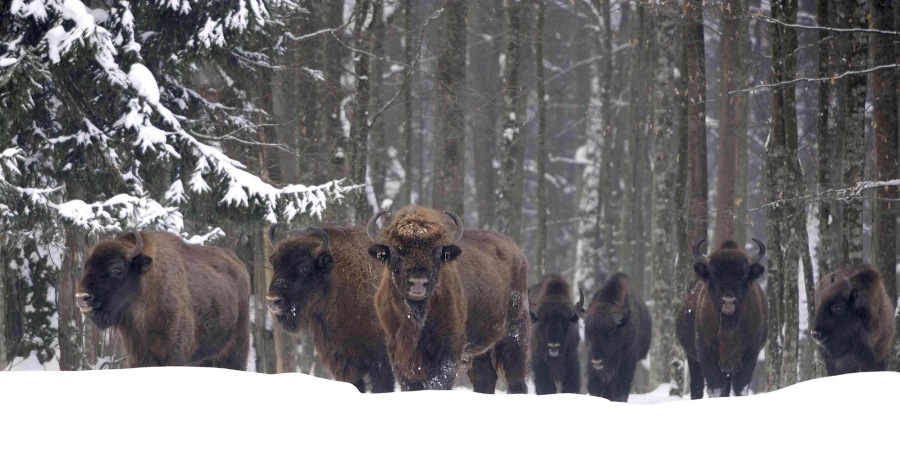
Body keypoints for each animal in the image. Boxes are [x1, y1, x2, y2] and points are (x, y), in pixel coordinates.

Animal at [76, 231, 250, 369]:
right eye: (87, 266)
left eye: (117, 268)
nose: (82, 297)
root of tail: (241, 267)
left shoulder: (173, 355)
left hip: (236, 349)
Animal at [367, 206, 530, 392]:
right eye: (396, 251)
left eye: (437, 252)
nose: (418, 283)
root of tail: (517, 252)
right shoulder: (397, 349)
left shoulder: (449, 348)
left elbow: (439, 382)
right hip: (478, 350)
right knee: (485, 378)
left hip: (515, 331)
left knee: (516, 375)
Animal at [578, 273, 651, 401]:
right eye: (587, 331)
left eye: (611, 332)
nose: (597, 360)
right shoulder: (591, 364)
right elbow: (594, 388)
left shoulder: (627, 363)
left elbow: (621, 390)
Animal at [677, 239, 767, 398]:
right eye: (713, 275)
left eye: (744, 275)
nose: (728, 301)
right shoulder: (706, 353)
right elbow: (716, 386)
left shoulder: (750, 352)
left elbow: (740, 386)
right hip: (693, 359)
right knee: (697, 387)